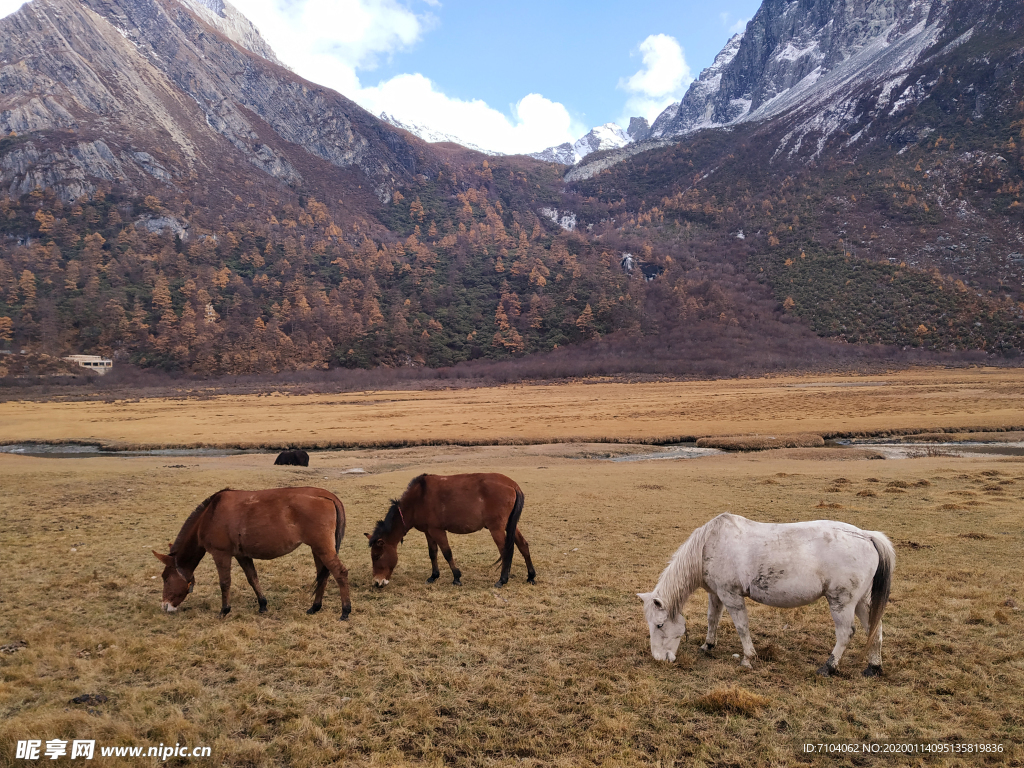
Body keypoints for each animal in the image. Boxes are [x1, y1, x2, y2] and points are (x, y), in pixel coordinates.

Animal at [151, 489, 352, 622]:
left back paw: (345, 610)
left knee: (340, 573)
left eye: (166, 578)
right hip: (317, 549)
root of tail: (328, 496)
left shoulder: (221, 554)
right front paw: (262, 604)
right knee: (323, 575)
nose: (164, 606)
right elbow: (252, 578)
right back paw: (315, 607)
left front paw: (224, 610)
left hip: (322, 547)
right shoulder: (242, 555)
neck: (210, 515)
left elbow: (225, 583)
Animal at [364, 468, 536, 589]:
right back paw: (531, 576)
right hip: (510, 525)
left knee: (505, 551)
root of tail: (512, 484)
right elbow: (432, 553)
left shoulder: (437, 531)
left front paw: (456, 577)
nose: (377, 583)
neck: (418, 499)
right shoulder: (428, 532)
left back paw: (502, 579)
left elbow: (447, 553)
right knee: (523, 545)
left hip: (497, 528)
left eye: (377, 557)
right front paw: (434, 576)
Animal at [634, 514, 892, 675]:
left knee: (846, 633)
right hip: (860, 601)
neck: (710, 544)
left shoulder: (731, 596)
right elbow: (712, 619)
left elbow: (742, 626)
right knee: (874, 628)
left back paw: (828, 667)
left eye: (659, 625)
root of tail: (867, 536)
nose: (659, 658)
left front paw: (748, 658)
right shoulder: (716, 595)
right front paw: (708, 646)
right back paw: (874, 667)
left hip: (842, 602)